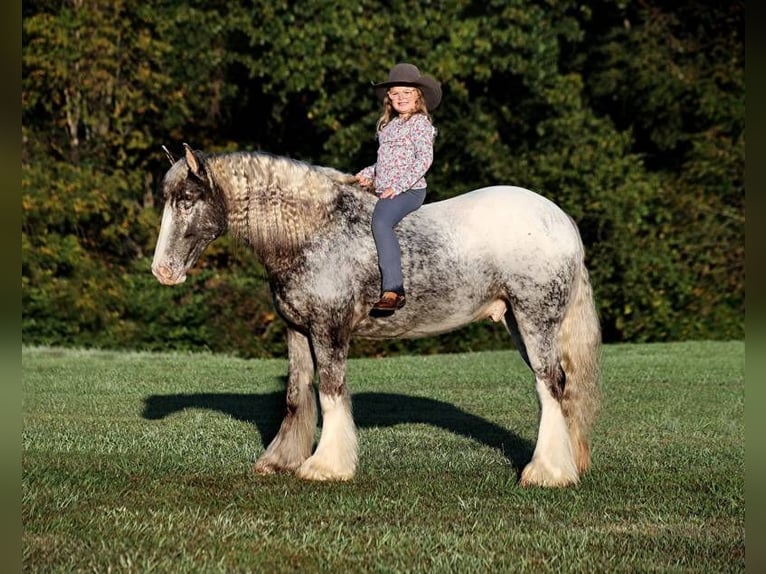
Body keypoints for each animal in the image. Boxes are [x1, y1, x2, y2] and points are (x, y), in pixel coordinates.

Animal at [151, 143, 601, 487]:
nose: (162, 271)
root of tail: (559, 219)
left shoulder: (329, 329)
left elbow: (331, 391)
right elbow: (297, 394)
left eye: (187, 201)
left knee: (550, 385)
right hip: (516, 323)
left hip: (535, 320)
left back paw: (547, 472)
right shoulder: (297, 330)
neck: (314, 231)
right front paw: (280, 462)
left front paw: (325, 466)